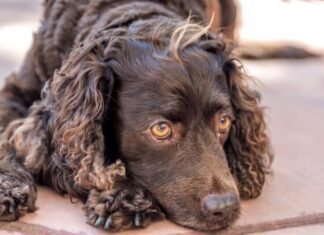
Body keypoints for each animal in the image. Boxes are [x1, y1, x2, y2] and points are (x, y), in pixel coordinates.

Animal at [0, 0, 274, 232]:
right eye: (161, 129)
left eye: (223, 121)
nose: (224, 207)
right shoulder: (15, 93)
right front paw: (8, 188)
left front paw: (124, 195)